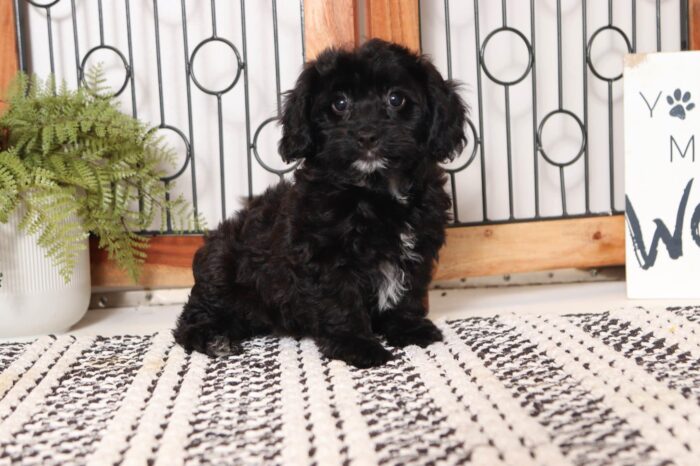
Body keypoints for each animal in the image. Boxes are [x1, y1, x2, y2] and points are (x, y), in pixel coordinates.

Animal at [173, 39, 468, 368]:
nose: (367, 135)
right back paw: (214, 338)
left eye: (395, 99)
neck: (374, 190)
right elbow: (341, 301)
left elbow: (408, 292)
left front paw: (409, 329)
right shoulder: (325, 255)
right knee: (192, 317)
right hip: (222, 270)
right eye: (339, 103)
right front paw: (358, 346)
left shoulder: (417, 247)